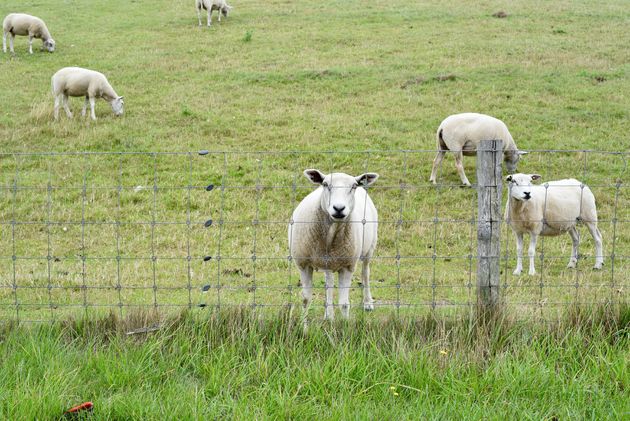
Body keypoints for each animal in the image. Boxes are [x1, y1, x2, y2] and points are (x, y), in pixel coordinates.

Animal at [290, 167, 380, 318]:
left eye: (353, 186)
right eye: (325, 184)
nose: (339, 208)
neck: (330, 236)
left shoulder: (348, 266)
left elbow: (344, 303)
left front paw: (345, 323)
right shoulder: (303, 265)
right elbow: (306, 300)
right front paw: (304, 324)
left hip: (370, 247)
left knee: (365, 272)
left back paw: (368, 303)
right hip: (329, 261)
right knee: (329, 283)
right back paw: (328, 314)